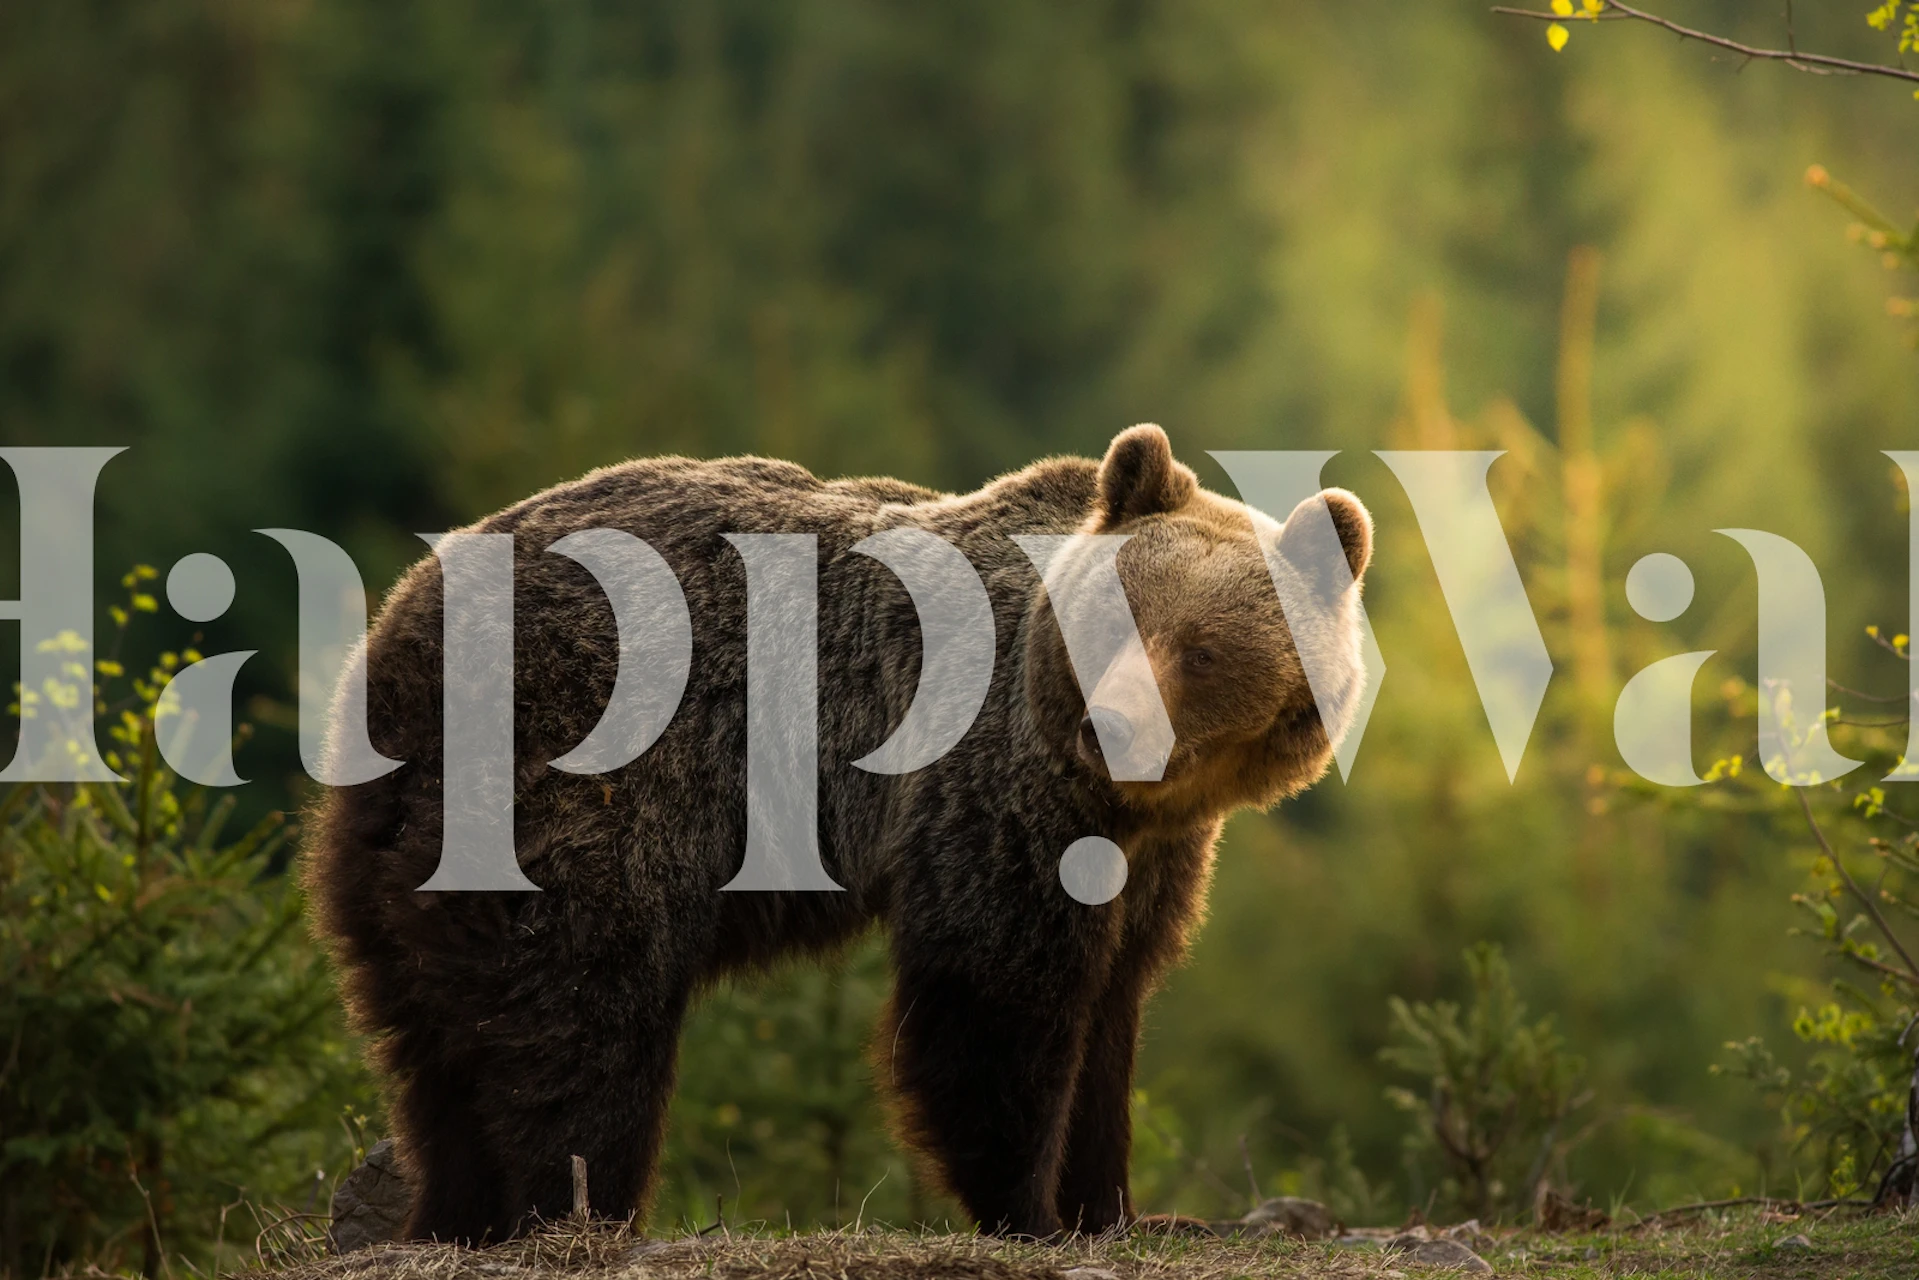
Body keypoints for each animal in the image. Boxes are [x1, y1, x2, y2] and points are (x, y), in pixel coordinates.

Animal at [305, 424, 1373, 1244]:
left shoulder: (1152, 853)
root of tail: (398, 632)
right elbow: (997, 994)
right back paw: (578, 1209)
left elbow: (1113, 1006)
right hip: (575, 784)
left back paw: (453, 1212)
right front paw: (1029, 1210)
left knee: (431, 1038)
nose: (1111, 726)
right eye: (1113, 620)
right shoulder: (998, 787)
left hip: (401, 835)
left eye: (1199, 649)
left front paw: (1118, 1208)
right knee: (585, 1009)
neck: (1133, 799)